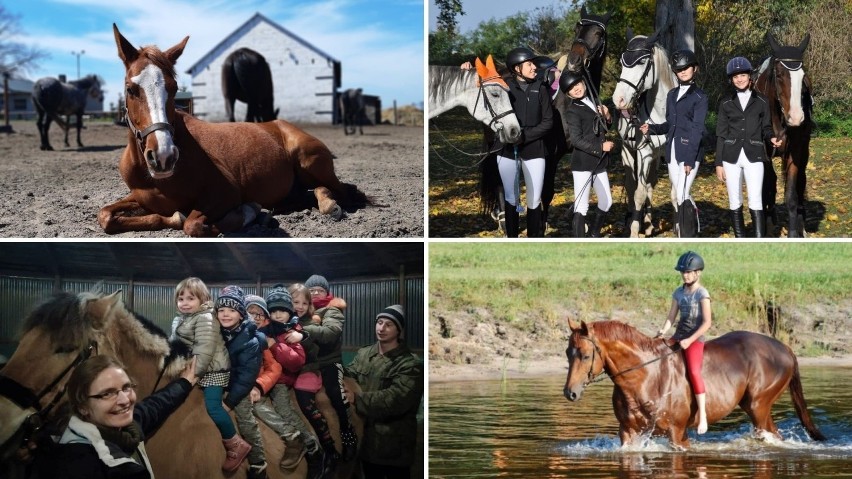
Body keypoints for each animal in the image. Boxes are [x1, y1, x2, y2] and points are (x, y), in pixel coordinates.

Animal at [97, 24, 370, 238]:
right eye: (130, 89)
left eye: (174, 88)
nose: (163, 156)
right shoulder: (139, 199)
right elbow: (106, 216)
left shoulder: (226, 193)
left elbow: (192, 224)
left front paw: (249, 212)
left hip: (309, 161)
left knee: (342, 189)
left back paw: (329, 206)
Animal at [564, 318, 828, 450]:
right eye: (568, 353)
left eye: (585, 356)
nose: (570, 393)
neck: (644, 378)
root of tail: (785, 348)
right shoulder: (627, 433)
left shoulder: (677, 434)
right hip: (756, 408)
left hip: (758, 406)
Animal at [608, 29, 676, 237]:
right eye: (622, 61)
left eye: (642, 62)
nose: (619, 99)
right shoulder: (642, 153)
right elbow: (638, 193)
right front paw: (634, 231)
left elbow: (673, 190)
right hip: (629, 153)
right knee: (632, 187)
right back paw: (633, 220)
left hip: (653, 159)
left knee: (650, 185)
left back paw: (648, 222)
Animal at [756, 31, 816, 238]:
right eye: (780, 75)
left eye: (803, 77)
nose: (796, 117)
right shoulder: (764, 155)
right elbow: (767, 187)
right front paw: (766, 224)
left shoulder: (795, 152)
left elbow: (791, 194)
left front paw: (793, 233)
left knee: (801, 182)